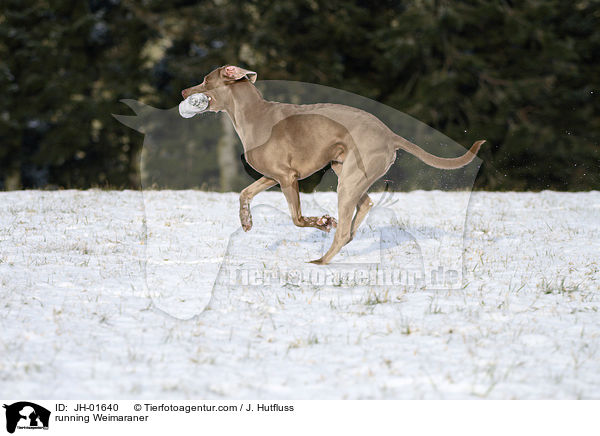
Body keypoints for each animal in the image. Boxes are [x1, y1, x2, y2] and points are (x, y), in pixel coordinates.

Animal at [180, 66, 486, 264]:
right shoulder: (274, 176)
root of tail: (389, 134)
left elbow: (297, 218)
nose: (183, 91)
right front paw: (246, 221)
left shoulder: (287, 177)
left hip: (350, 178)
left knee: (343, 230)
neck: (252, 114)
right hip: (347, 169)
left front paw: (322, 221)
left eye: (205, 80)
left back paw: (321, 260)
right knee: (363, 208)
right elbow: (245, 193)